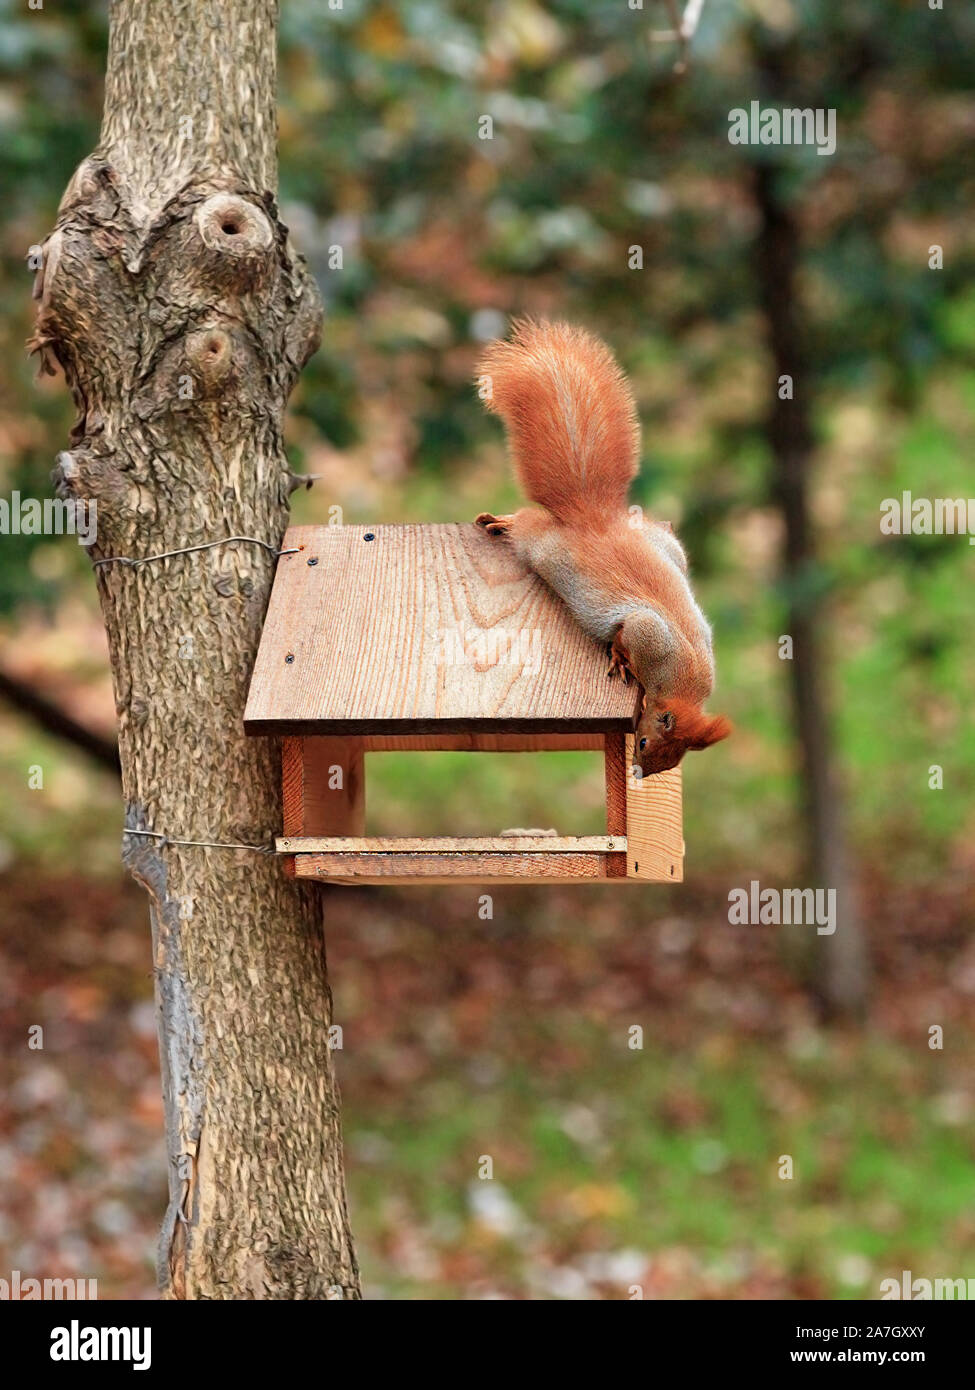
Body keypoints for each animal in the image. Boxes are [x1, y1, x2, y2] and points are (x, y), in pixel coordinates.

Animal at [475, 318, 730, 777]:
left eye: (669, 762)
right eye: (643, 741)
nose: (639, 774)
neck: (680, 681)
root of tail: (591, 517)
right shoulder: (648, 633)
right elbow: (626, 634)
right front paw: (619, 656)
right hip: (544, 548)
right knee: (527, 526)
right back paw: (504, 522)